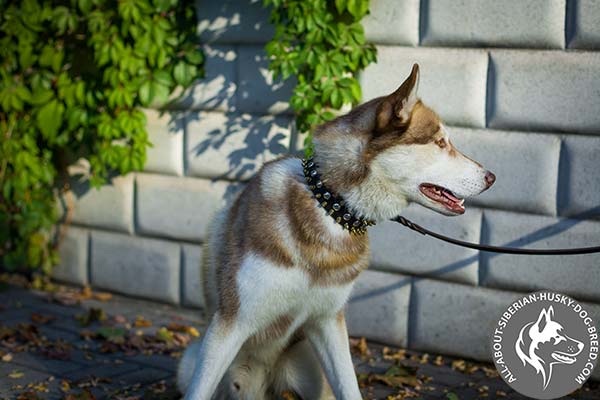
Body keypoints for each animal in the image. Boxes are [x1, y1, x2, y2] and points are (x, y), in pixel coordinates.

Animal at [178, 64, 496, 398]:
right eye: (440, 143)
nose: (492, 177)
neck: (330, 207)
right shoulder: (232, 322)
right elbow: (199, 391)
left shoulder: (328, 321)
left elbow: (349, 386)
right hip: (193, 361)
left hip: (309, 369)